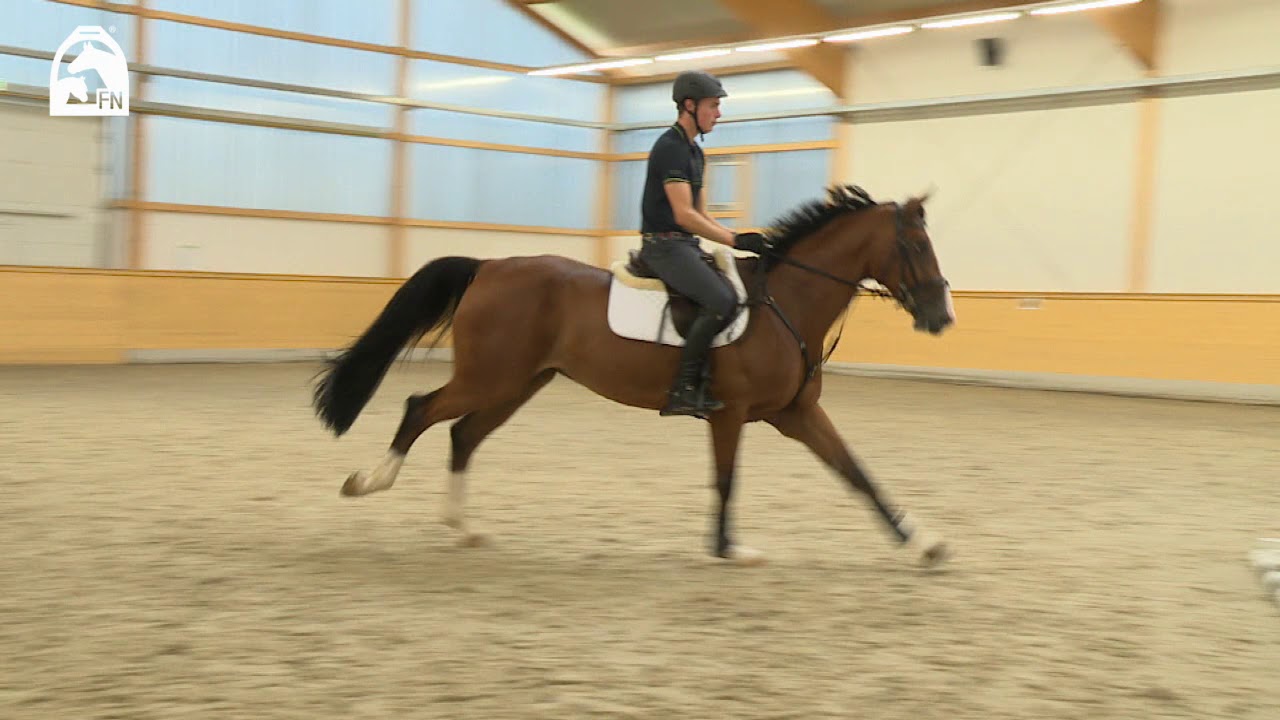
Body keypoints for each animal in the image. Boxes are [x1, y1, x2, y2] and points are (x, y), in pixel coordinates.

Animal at [314, 181, 957, 563]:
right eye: (916, 246)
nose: (941, 317)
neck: (787, 305)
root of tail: (489, 265)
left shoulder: (796, 413)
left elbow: (857, 472)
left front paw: (920, 540)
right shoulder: (732, 414)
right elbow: (727, 480)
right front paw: (727, 548)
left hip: (520, 383)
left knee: (462, 434)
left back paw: (462, 527)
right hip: (490, 377)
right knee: (421, 408)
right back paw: (368, 482)